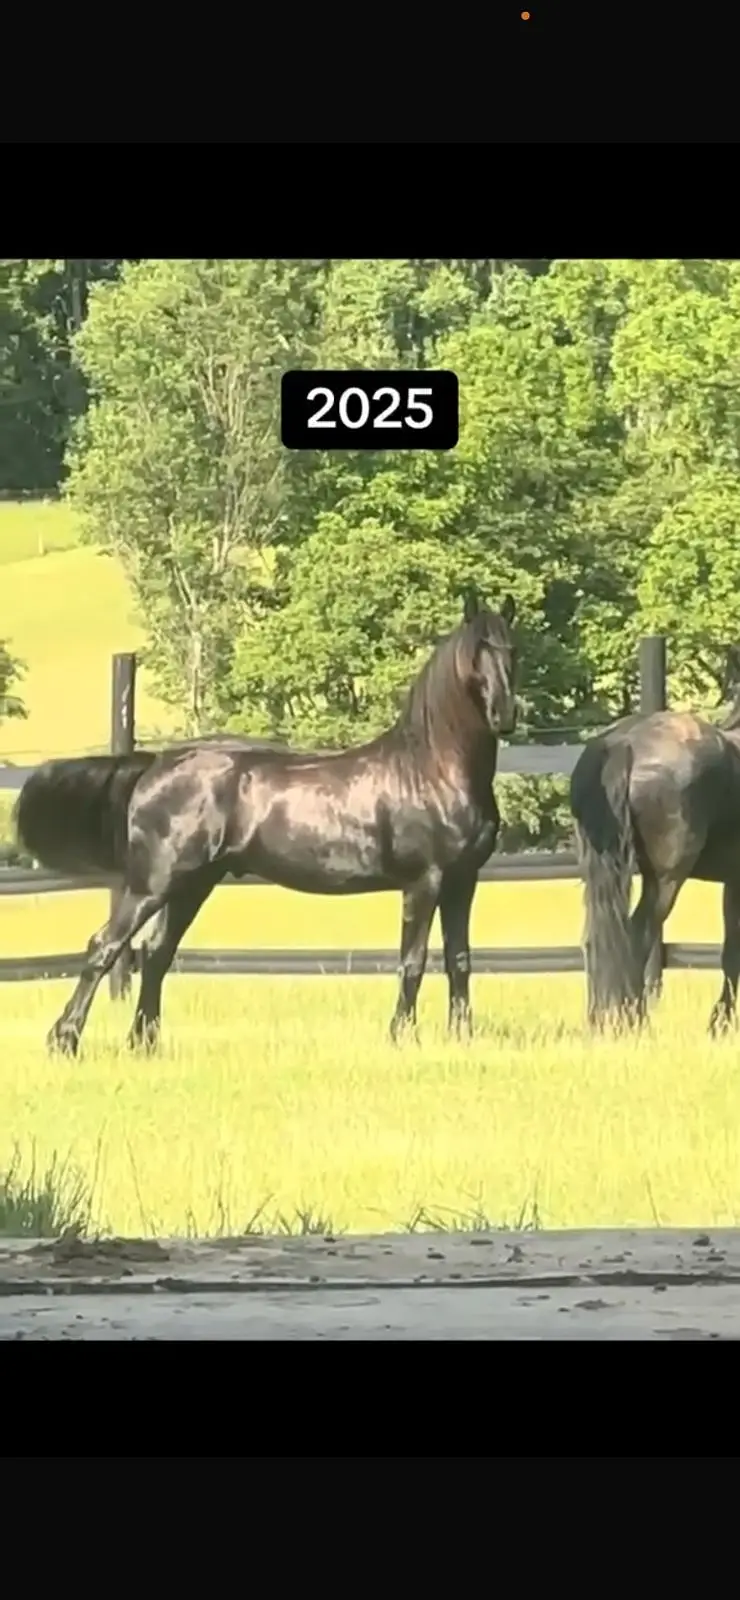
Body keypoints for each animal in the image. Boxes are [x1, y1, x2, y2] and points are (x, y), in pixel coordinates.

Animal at [15, 588, 518, 1055]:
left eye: (511, 648)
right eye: (477, 650)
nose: (506, 714)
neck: (432, 769)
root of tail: (157, 764)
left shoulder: (462, 881)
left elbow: (459, 960)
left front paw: (462, 1038)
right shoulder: (423, 882)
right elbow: (412, 962)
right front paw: (400, 1038)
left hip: (192, 884)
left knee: (156, 954)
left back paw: (144, 1043)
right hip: (152, 884)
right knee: (105, 946)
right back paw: (65, 1039)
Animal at [570, 655, 740, 1033]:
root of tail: (622, 744)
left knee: (598, 939)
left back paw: (600, 1021)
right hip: (665, 879)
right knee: (637, 935)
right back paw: (634, 1021)